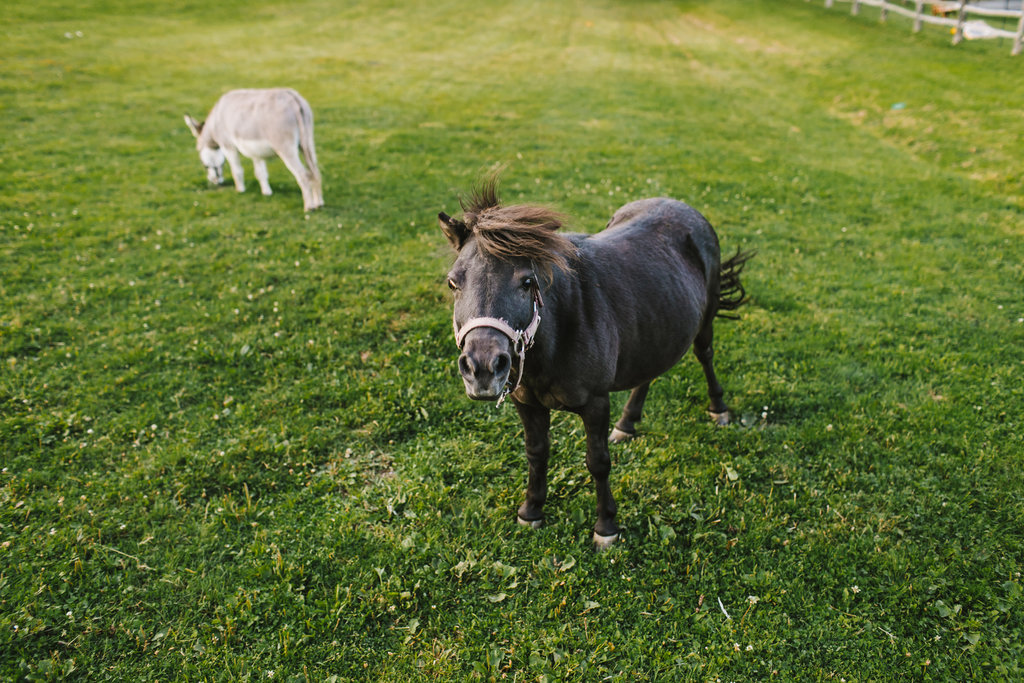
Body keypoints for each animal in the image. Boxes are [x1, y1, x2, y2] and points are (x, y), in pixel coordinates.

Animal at [440, 178, 753, 548]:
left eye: (527, 282)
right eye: (453, 282)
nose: (484, 368)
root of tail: (682, 206)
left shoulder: (595, 403)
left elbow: (598, 462)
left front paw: (606, 526)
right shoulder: (527, 403)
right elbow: (536, 453)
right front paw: (531, 510)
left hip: (705, 320)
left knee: (705, 355)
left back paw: (719, 409)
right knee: (648, 373)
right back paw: (628, 423)